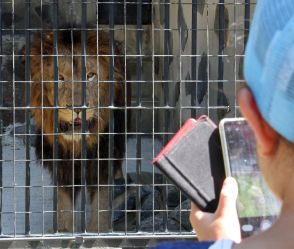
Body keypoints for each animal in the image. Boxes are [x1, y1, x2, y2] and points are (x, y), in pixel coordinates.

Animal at [27, 30, 127, 232]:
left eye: (90, 75)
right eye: (59, 78)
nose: (78, 107)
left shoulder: (103, 160)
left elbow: (101, 203)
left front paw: (98, 231)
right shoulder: (62, 165)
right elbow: (64, 205)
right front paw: (64, 231)